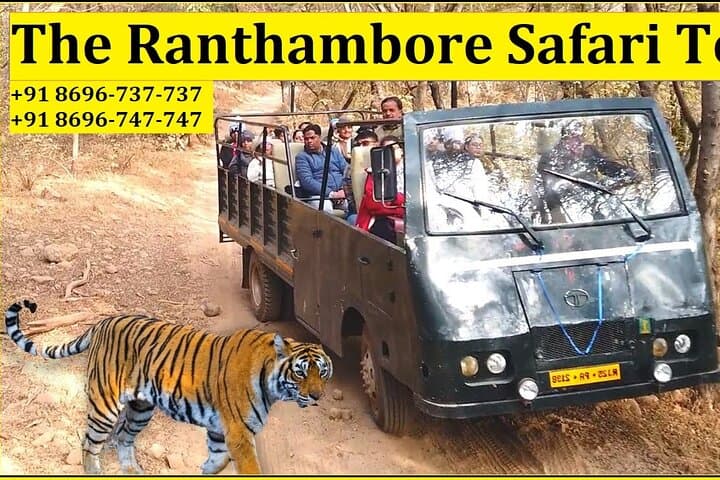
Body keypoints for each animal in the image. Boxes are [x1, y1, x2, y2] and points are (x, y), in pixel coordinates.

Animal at [4, 299, 333, 475]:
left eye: (323, 373)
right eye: (301, 373)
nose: (316, 396)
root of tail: (102, 322)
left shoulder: (220, 432)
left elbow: (215, 462)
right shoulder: (239, 433)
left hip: (140, 409)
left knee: (123, 438)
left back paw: (133, 471)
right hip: (105, 404)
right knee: (90, 442)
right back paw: (95, 471)